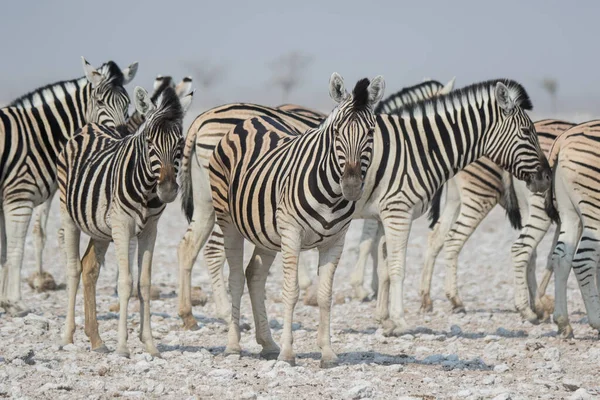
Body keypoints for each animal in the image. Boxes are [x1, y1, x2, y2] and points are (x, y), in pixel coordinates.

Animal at [0, 56, 137, 314]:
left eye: (128, 102)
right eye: (99, 101)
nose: (122, 134)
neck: (38, 136)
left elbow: (4, 252)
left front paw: (4, 301)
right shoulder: (19, 198)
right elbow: (15, 250)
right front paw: (15, 302)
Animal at [58, 86, 192, 354]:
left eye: (180, 142)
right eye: (149, 142)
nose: (168, 190)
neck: (147, 189)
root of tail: (89, 126)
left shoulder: (150, 229)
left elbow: (144, 283)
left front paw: (150, 344)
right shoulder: (122, 226)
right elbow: (126, 282)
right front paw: (122, 346)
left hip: (99, 228)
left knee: (89, 268)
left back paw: (96, 340)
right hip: (68, 214)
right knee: (74, 269)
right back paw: (67, 336)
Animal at [197, 73, 384, 368]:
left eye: (370, 133)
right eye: (336, 132)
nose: (352, 186)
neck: (331, 195)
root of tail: (250, 121)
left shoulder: (335, 241)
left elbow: (325, 294)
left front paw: (327, 353)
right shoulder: (292, 233)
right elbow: (291, 290)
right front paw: (287, 353)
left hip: (266, 231)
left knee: (254, 274)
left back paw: (267, 343)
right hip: (229, 220)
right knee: (236, 277)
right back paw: (234, 345)